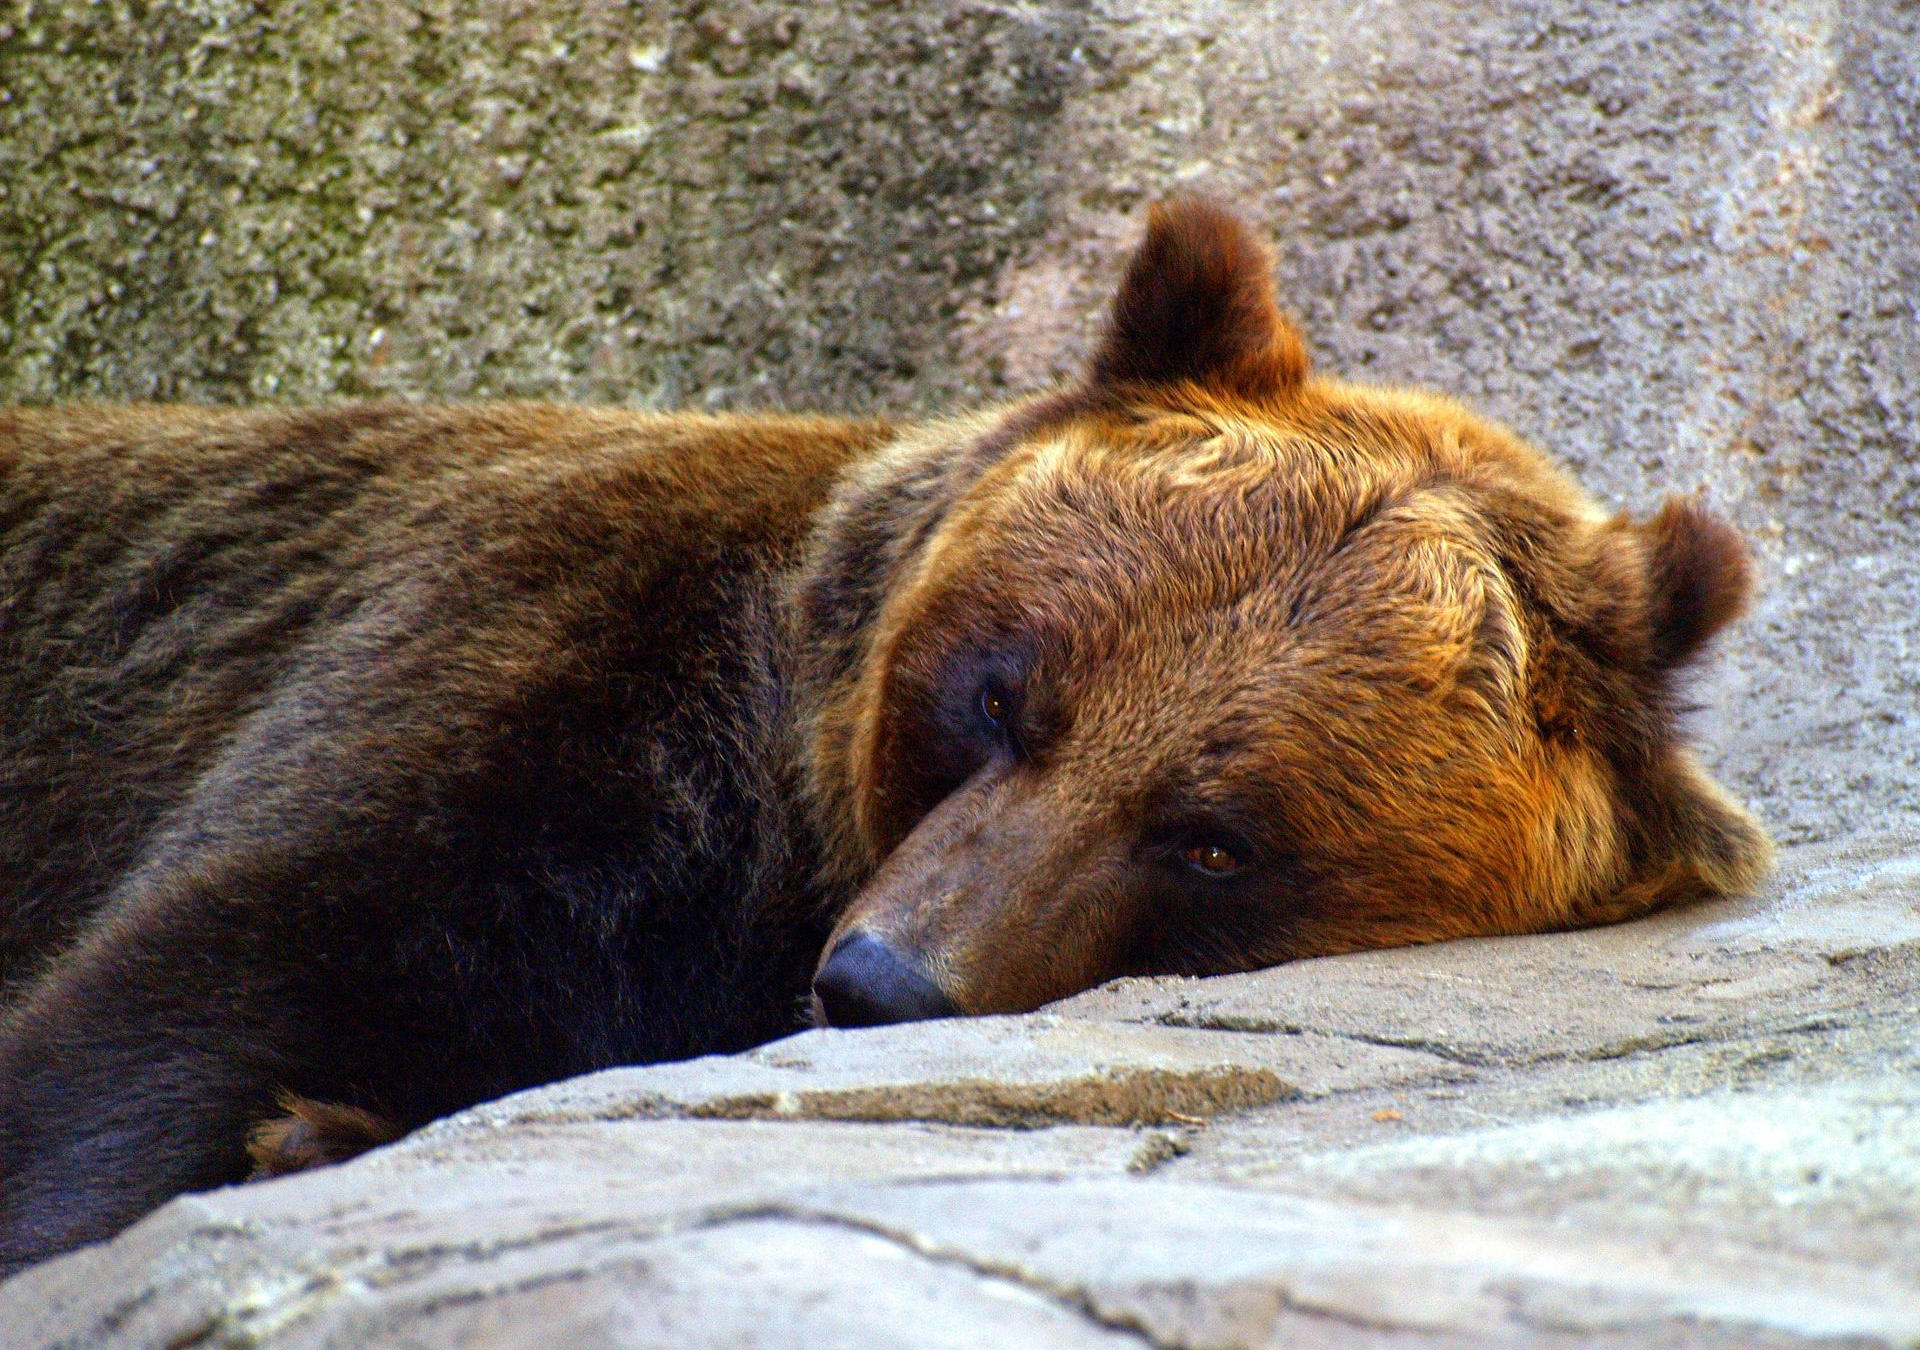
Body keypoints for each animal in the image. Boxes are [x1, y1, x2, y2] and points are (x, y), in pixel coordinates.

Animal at [0, 199, 1770, 1273]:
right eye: (999, 694)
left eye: (1214, 837)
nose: (882, 980)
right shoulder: (514, 676)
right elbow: (164, 1024)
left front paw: (307, 1132)